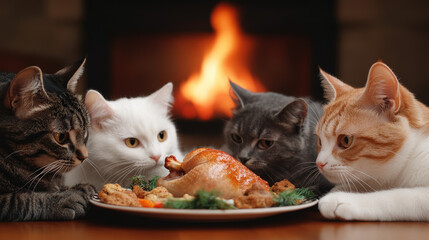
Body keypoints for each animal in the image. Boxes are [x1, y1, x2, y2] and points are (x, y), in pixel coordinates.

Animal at [0, 59, 94, 221]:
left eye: (85, 131)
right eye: (61, 137)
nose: (84, 156)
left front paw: (83, 189)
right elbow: (20, 199)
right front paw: (65, 198)